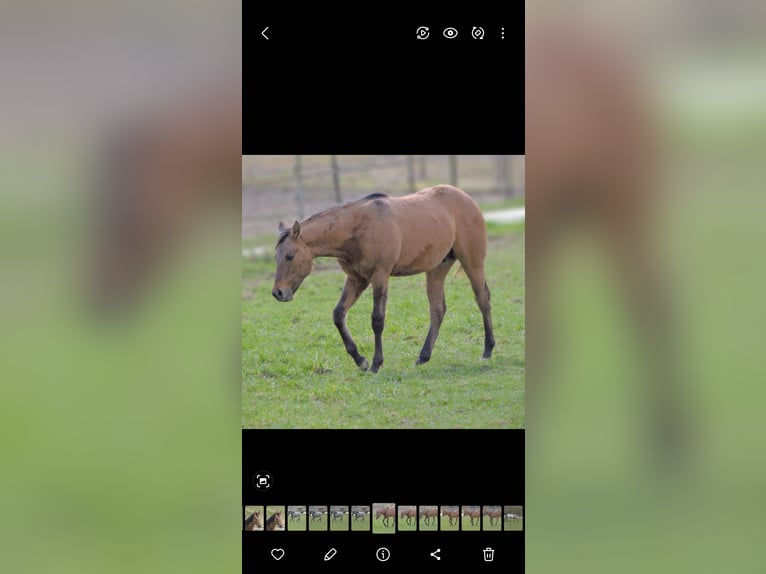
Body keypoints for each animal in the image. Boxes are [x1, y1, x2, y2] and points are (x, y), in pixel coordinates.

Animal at [272, 185, 495, 373]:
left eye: (289, 256)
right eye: (276, 257)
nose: (278, 292)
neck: (358, 227)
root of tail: (466, 198)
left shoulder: (380, 276)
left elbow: (377, 320)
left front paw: (376, 363)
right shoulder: (356, 279)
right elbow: (338, 314)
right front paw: (360, 360)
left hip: (472, 262)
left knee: (482, 299)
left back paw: (488, 349)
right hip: (437, 268)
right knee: (438, 309)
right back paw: (423, 356)